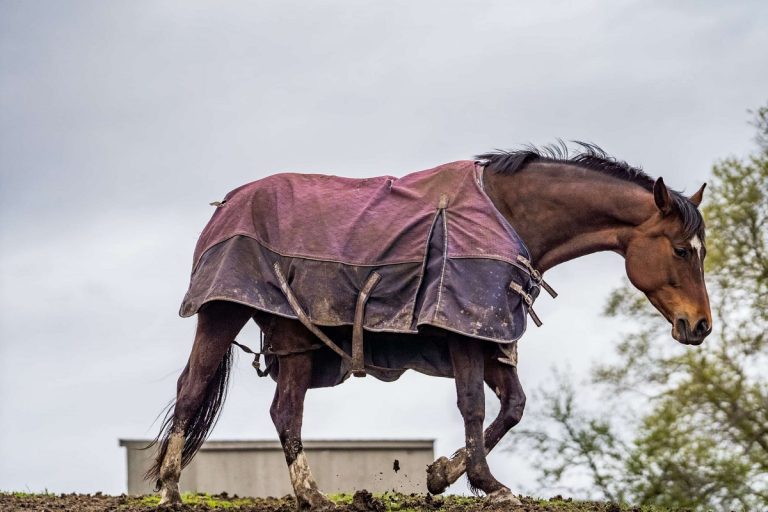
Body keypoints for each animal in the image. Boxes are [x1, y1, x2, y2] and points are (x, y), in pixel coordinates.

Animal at [147, 143, 711, 510]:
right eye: (682, 250)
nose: (701, 325)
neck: (509, 215)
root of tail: (227, 204)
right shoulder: (463, 329)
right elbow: (474, 405)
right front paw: (486, 484)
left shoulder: (490, 333)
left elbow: (513, 406)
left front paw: (443, 475)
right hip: (222, 312)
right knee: (193, 386)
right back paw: (172, 489)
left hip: (294, 337)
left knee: (285, 411)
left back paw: (311, 495)